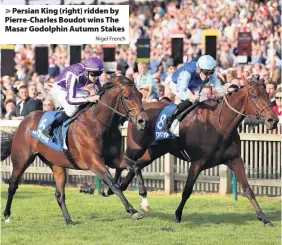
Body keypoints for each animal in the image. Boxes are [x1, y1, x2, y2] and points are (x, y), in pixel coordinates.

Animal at [1, 76, 149, 224]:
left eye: (141, 95)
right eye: (127, 96)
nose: (143, 121)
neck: (98, 123)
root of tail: (24, 121)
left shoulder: (114, 159)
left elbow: (135, 166)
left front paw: (144, 198)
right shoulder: (94, 162)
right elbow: (113, 184)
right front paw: (132, 210)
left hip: (57, 165)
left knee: (59, 194)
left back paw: (68, 220)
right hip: (22, 160)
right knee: (13, 185)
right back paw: (7, 215)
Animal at [105, 79, 278, 226]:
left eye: (268, 95)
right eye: (254, 96)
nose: (273, 120)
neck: (220, 125)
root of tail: (138, 111)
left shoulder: (235, 159)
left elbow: (248, 189)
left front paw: (264, 218)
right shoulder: (197, 163)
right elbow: (187, 190)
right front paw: (177, 215)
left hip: (153, 151)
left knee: (136, 165)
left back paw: (125, 191)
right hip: (136, 147)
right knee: (126, 163)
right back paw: (114, 188)